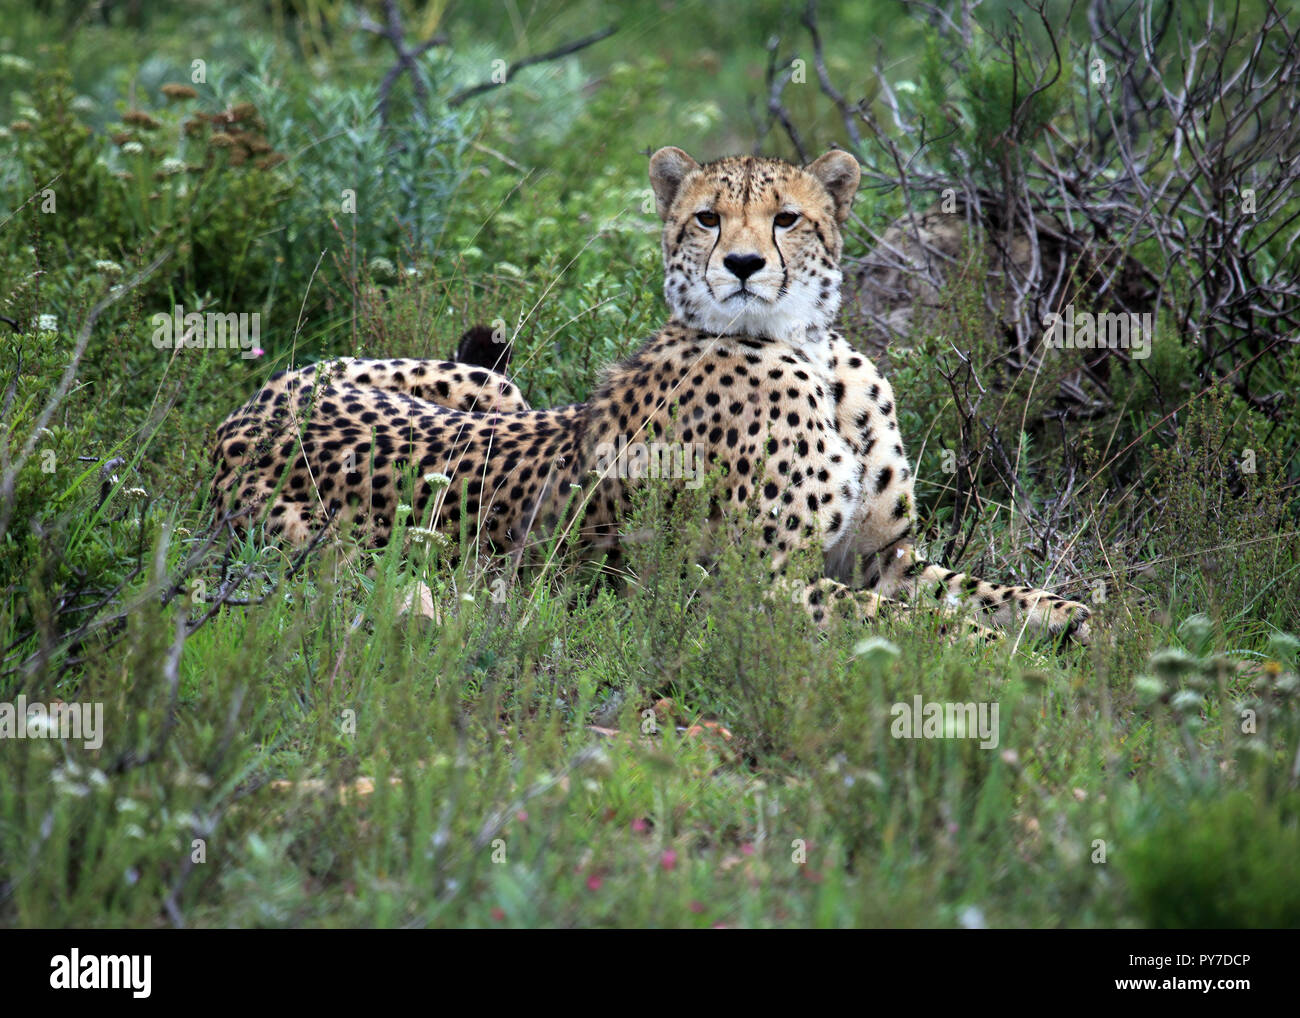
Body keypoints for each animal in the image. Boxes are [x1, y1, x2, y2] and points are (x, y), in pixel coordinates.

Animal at [213, 147, 1086, 642]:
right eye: (706, 217)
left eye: (787, 218)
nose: (741, 265)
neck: (808, 347)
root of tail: (250, 410)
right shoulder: (748, 588)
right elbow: (903, 621)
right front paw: (1003, 659)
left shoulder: (879, 556)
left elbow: (974, 589)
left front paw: (1068, 617)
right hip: (325, 541)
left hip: (498, 386)